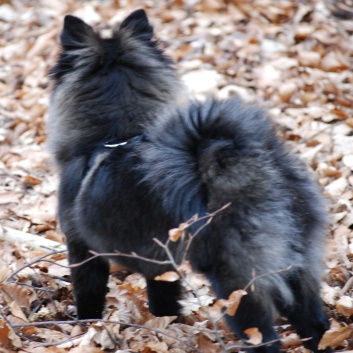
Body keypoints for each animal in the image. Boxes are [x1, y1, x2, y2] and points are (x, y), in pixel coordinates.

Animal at [47, 9, 330, 350]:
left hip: (237, 286)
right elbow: (164, 301)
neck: (115, 135)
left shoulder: (82, 250)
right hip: (296, 268)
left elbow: (89, 297)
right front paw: (167, 325)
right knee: (315, 325)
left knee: (265, 338)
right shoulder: (161, 264)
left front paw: (85, 328)